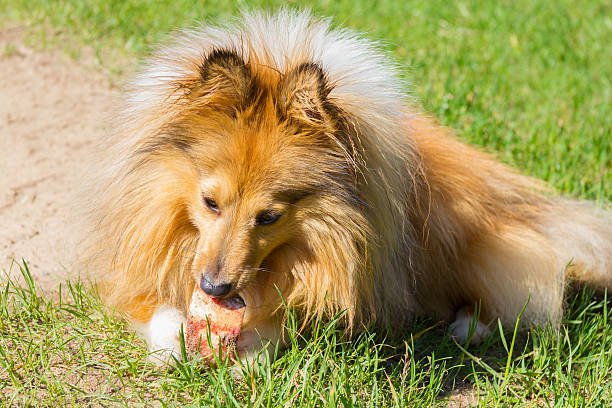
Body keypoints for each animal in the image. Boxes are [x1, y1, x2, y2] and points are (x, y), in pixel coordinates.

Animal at [86, 8, 612, 364]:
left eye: (269, 216)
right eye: (210, 202)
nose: (214, 287)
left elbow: (291, 320)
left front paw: (250, 352)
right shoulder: (137, 267)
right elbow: (156, 311)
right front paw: (176, 343)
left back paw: (467, 326)